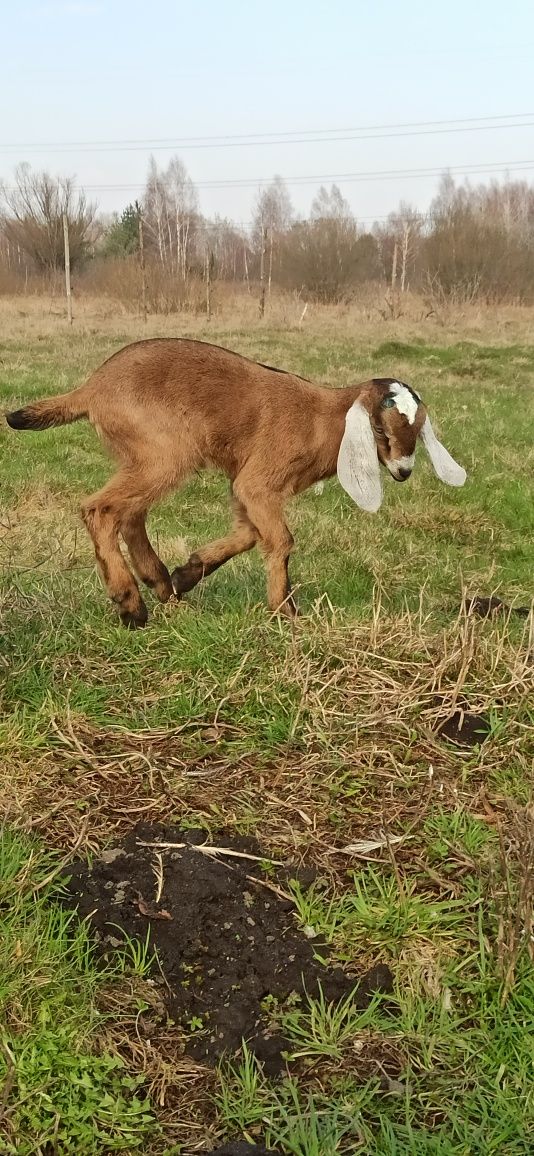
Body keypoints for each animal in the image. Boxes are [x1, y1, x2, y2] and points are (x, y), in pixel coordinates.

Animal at [4, 337, 464, 624]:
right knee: (101, 509)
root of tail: (92, 389)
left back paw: (162, 584)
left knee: (130, 514)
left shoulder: (248, 487)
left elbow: (248, 535)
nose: (404, 472)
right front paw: (285, 611)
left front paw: (189, 572)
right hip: (163, 453)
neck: (325, 420)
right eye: (381, 431)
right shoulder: (259, 482)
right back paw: (131, 604)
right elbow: (280, 540)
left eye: (418, 430)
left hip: (146, 458)